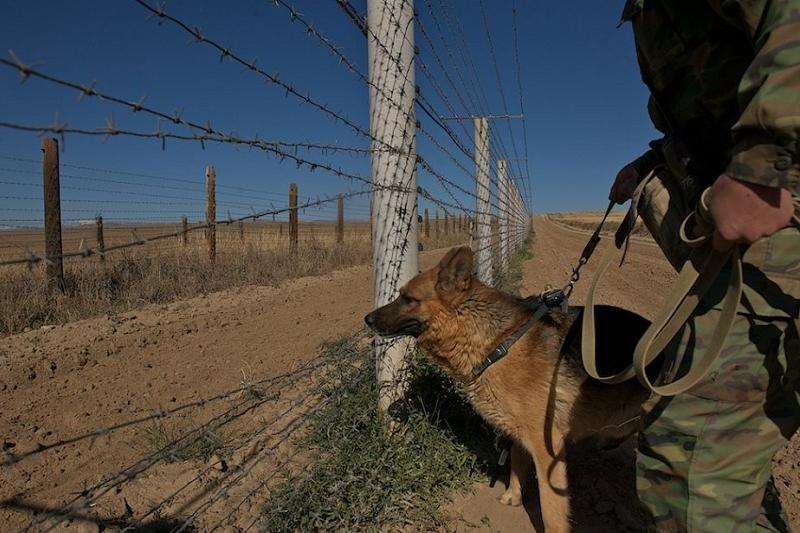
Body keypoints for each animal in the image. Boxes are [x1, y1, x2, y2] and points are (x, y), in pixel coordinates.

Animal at [366, 247, 652, 528]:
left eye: (408, 299)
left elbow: (551, 511)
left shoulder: (547, 448)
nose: (366, 319)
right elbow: (516, 460)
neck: (498, 343)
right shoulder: (519, 431)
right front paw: (514, 495)